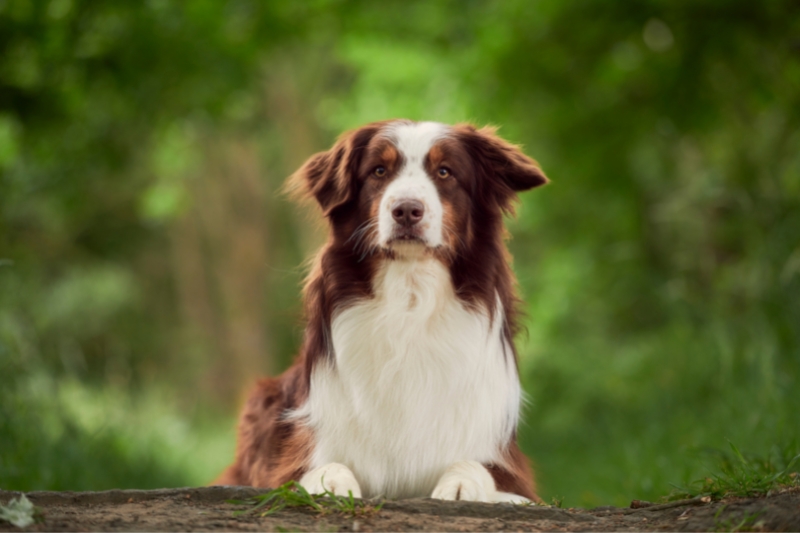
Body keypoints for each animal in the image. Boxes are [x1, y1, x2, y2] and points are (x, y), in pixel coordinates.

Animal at [212, 120, 552, 502]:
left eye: (445, 172)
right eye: (378, 171)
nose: (406, 209)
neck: (409, 296)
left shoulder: (510, 471)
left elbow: (475, 466)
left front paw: (461, 485)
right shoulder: (298, 455)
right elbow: (322, 467)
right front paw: (332, 483)